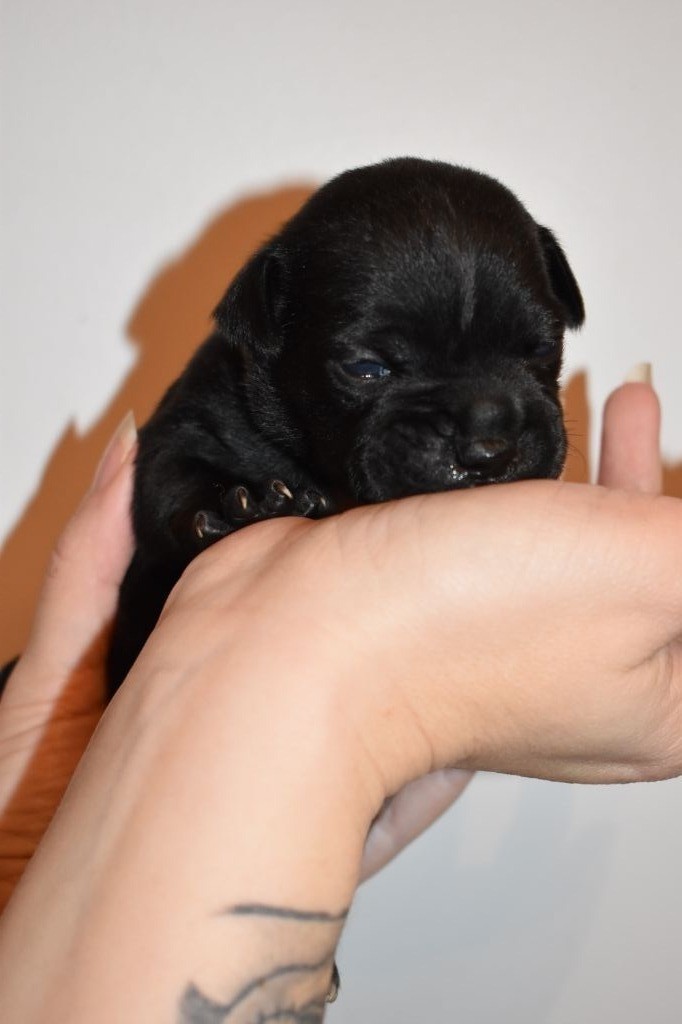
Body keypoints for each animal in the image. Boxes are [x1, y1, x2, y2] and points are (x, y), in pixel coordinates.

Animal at [106, 156, 584, 696]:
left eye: (543, 347)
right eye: (365, 368)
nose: (489, 446)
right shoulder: (194, 420)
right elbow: (169, 477)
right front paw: (243, 506)